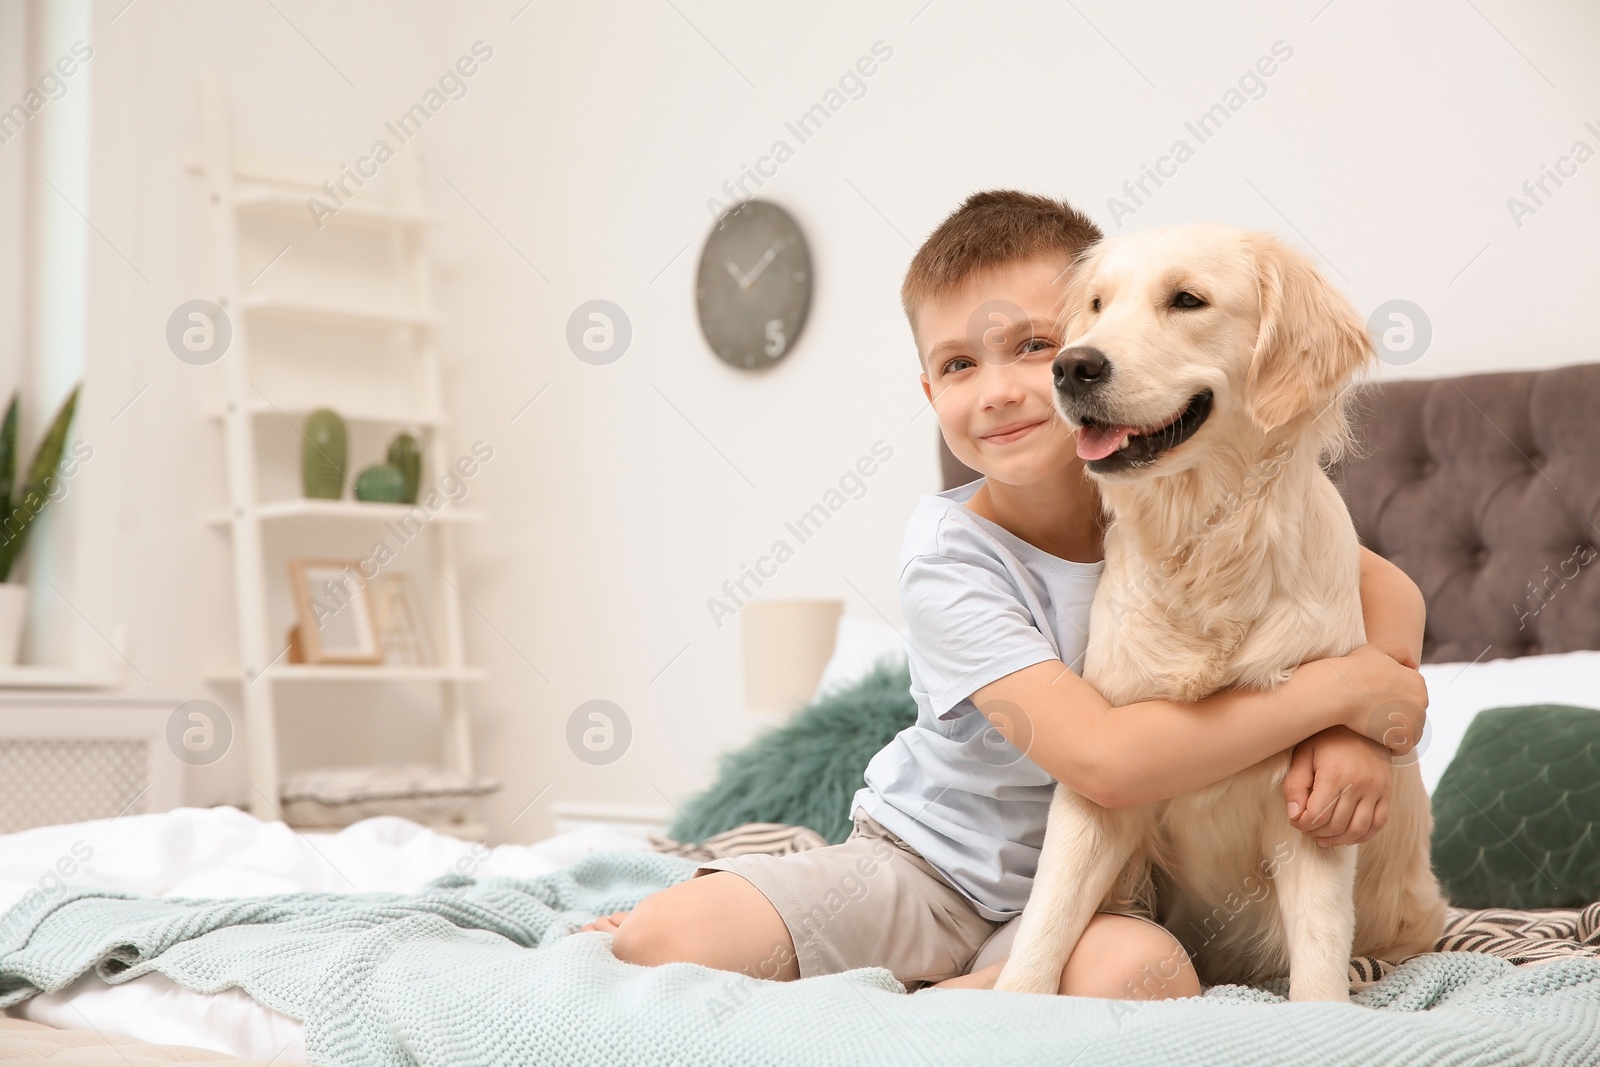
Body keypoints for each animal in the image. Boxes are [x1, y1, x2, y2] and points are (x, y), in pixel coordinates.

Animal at [992, 223, 1446, 1004]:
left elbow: (1320, 957)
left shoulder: (1312, 813)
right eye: (1097, 304)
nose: (1071, 366)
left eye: (1187, 300)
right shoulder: (1100, 783)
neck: (1207, 548)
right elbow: (1047, 920)